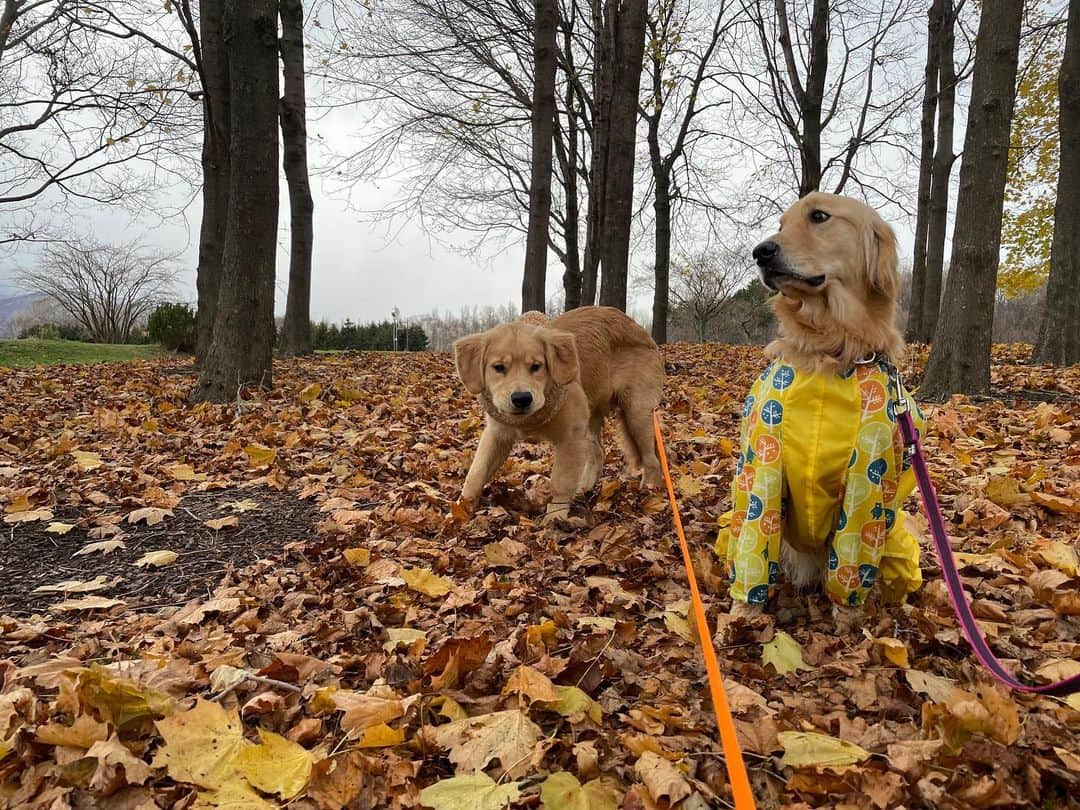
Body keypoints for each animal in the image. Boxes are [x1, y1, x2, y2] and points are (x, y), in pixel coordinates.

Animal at [449, 306, 665, 522]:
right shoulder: (497, 434)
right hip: (591, 415)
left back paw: (649, 491)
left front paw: (555, 518)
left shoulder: (571, 436)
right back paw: (584, 488)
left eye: (536, 366)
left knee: (652, 459)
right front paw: (460, 509)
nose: (522, 398)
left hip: (636, 412)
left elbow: (561, 480)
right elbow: (476, 473)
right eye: (499, 367)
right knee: (599, 451)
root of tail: (637, 327)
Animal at [721, 193, 924, 630]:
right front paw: (742, 615)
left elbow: (851, 560)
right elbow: (753, 552)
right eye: (781, 224)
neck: (831, 350)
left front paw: (848, 622)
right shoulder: (765, 468)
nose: (760, 252)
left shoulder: (867, 479)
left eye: (819, 216)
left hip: (899, 540)